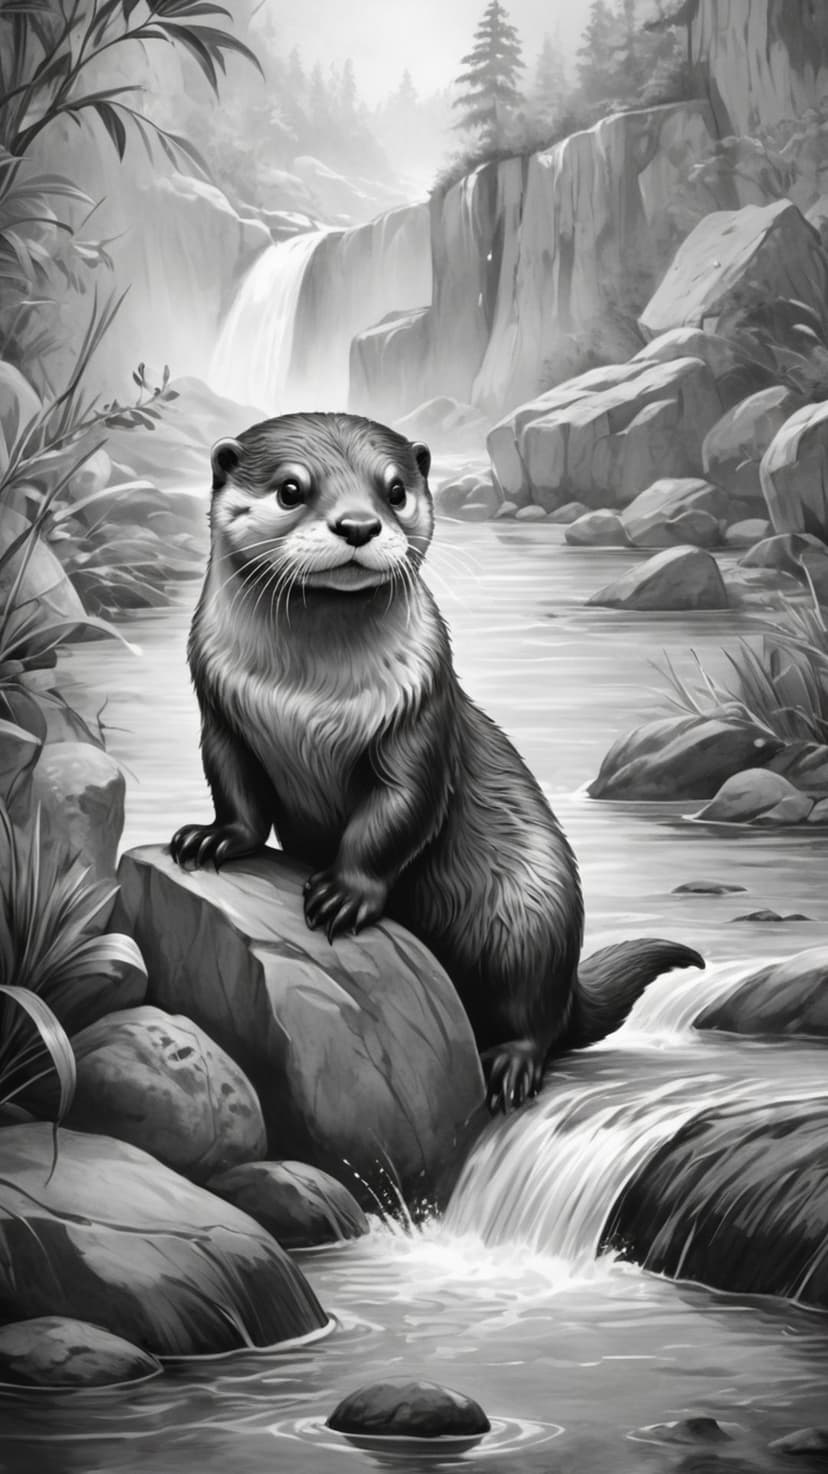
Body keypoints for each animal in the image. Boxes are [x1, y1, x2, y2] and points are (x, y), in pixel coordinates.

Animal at [171, 412, 702, 1112]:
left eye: (394, 490)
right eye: (290, 489)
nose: (359, 525)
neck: (303, 700)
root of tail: (570, 982)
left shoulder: (419, 720)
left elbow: (396, 815)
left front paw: (345, 894)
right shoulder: (221, 715)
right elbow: (236, 791)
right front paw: (212, 839)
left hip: (532, 912)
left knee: (535, 1017)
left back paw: (510, 1066)